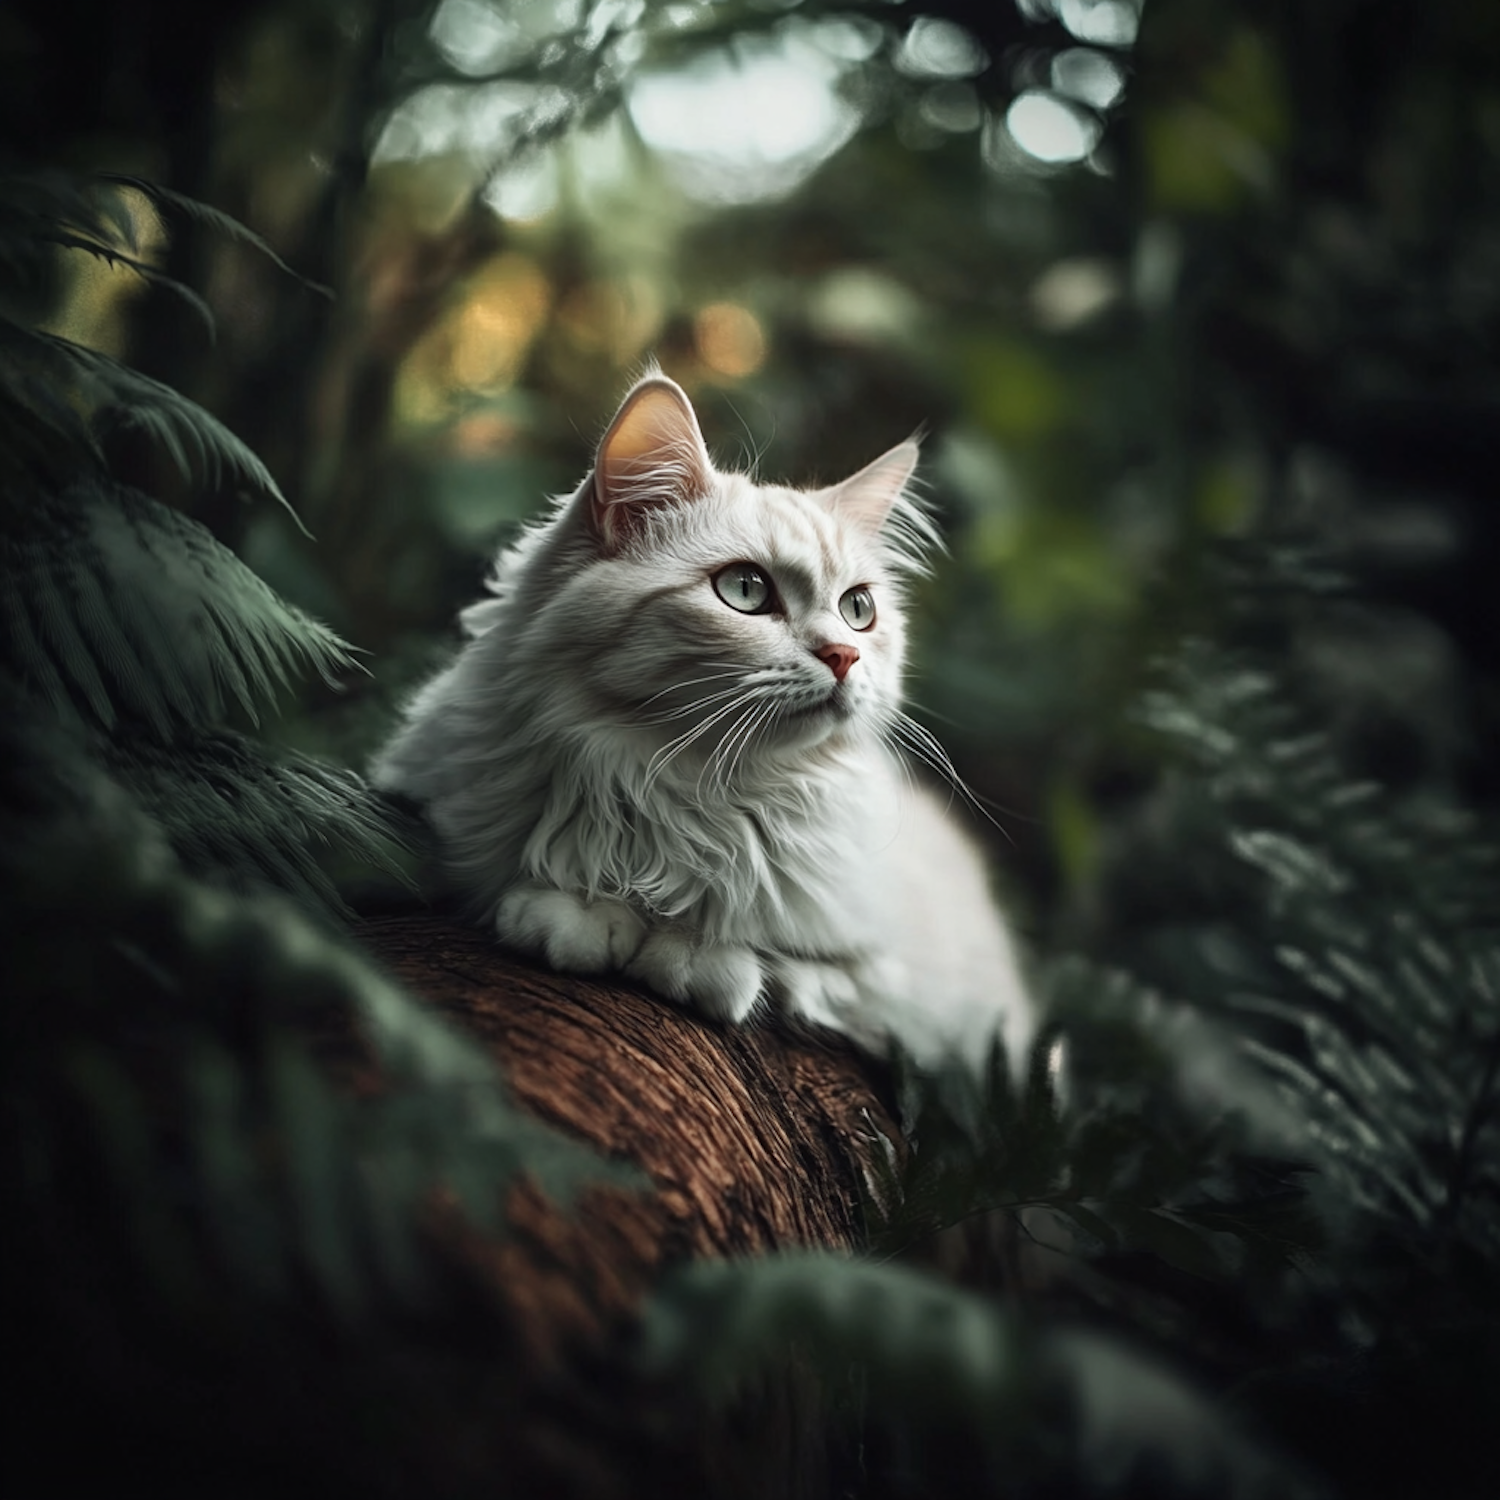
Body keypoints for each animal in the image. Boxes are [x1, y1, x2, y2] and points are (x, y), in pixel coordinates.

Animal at [372, 375, 1032, 1080]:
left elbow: (794, 960)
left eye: (859, 610)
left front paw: (696, 951)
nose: (844, 656)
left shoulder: (899, 982)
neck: (685, 786)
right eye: (745, 590)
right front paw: (578, 913)